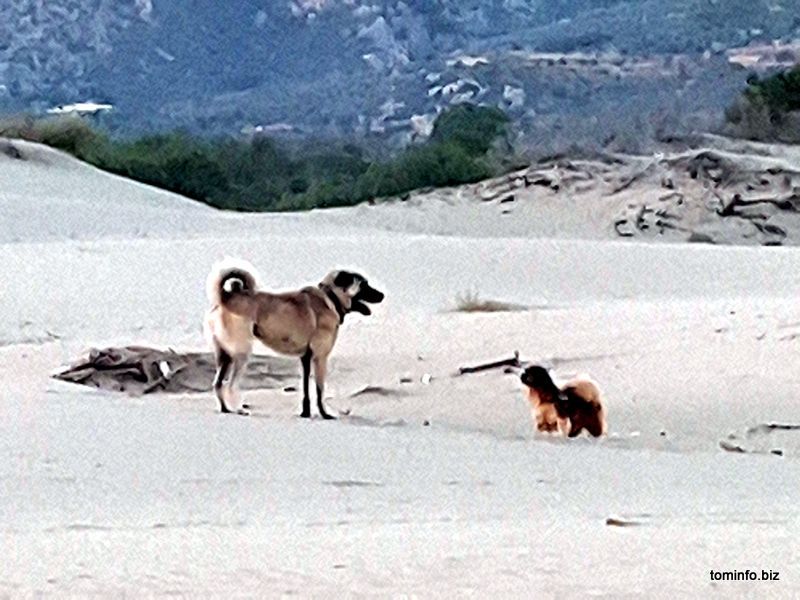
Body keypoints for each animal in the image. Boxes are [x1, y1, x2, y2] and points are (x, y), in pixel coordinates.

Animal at [205, 256, 382, 418]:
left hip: (224, 356)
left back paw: (225, 409)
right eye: (364, 285)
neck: (331, 298)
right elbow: (319, 390)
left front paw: (306, 412)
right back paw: (239, 409)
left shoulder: (305, 359)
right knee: (230, 385)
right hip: (241, 354)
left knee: (218, 384)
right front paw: (324, 413)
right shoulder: (320, 358)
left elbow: (305, 389)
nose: (382, 295)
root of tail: (225, 298)